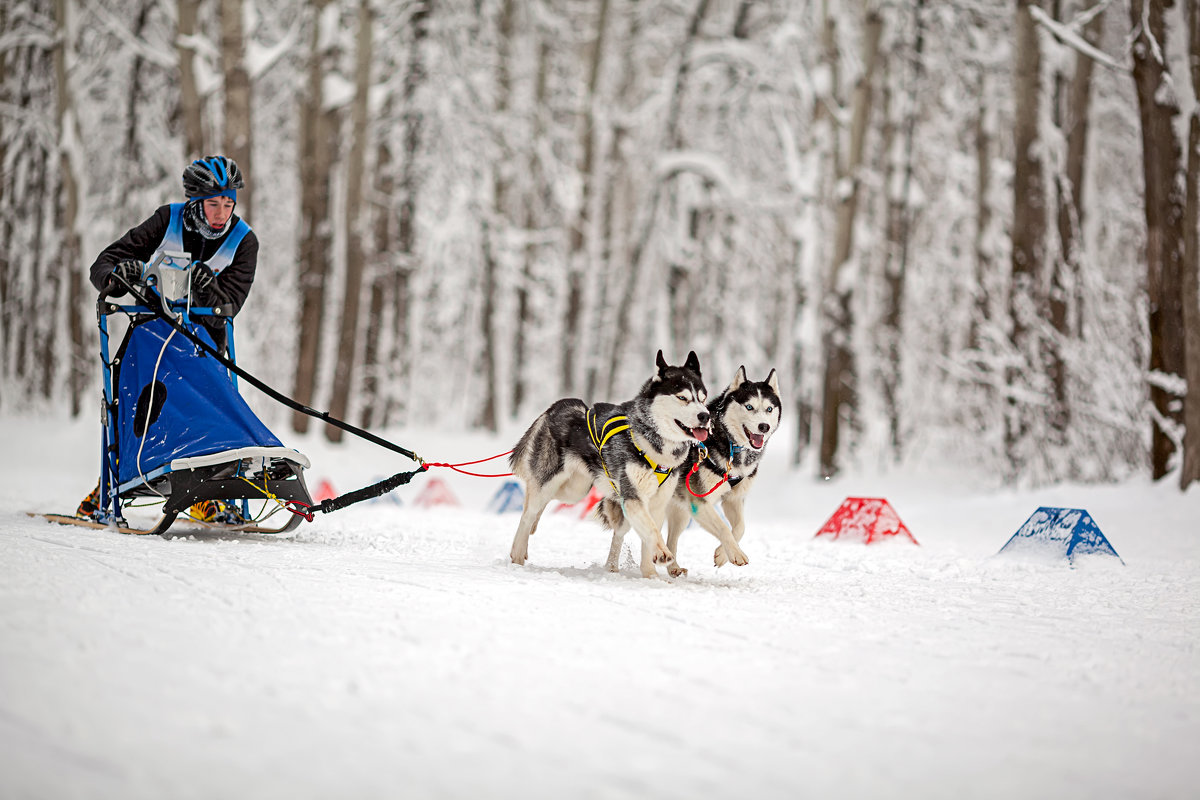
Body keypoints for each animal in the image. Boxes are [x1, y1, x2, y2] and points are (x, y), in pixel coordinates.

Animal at [506, 350, 739, 575]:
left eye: (703, 398)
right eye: (682, 397)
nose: (705, 416)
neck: (655, 446)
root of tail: (557, 406)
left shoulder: (656, 502)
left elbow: (650, 535)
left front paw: (651, 575)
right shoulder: (633, 498)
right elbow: (653, 530)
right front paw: (662, 553)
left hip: (575, 490)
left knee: (545, 506)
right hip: (555, 484)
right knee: (528, 511)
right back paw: (517, 553)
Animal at [600, 367, 777, 578]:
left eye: (769, 409)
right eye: (749, 407)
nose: (764, 426)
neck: (727, 442)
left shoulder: (733, 499)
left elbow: (740, 528)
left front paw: (722, 554)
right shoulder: (700, 503)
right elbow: (724, 528)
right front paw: (734, 553)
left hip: (680, 512)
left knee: (671, 539)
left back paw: (673, 566)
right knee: (621, 532)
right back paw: (612, 566)